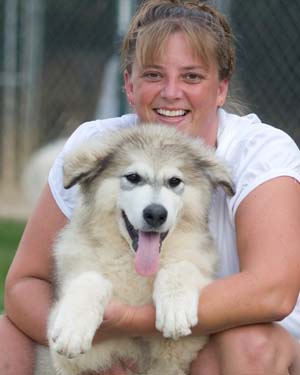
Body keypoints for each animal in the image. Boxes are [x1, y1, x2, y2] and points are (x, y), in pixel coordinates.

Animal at [34, 124, 234, 375]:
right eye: (133, 177)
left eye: (174, 181)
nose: (156, 214)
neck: (133, 267)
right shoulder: (78, 358)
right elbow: (91, 280)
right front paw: (74, 325)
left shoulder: (179, 351)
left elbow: (180, 267)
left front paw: (175, 307)